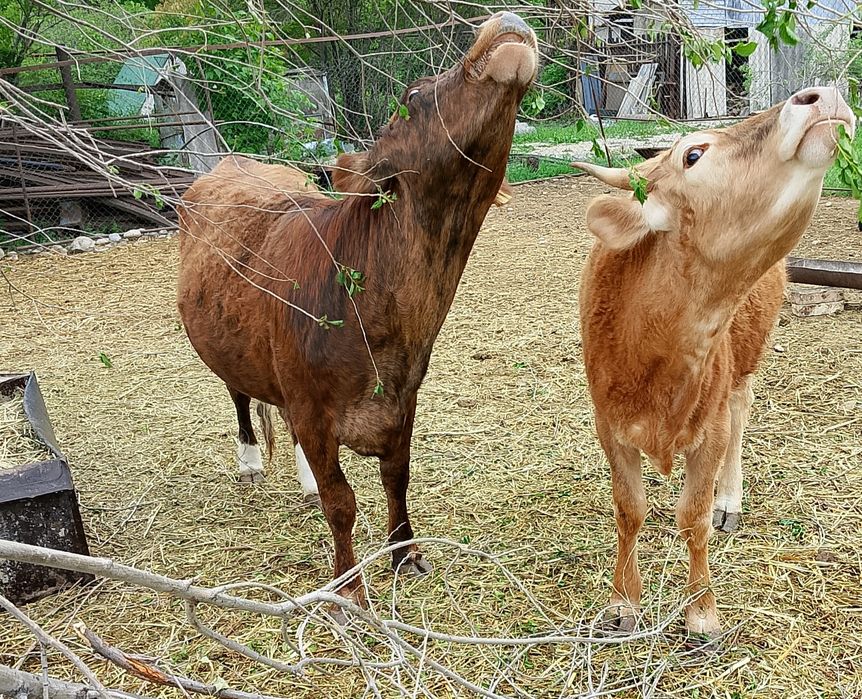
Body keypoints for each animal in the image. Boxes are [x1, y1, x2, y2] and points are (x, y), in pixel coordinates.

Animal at [177, 12, 538, 611]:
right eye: (413, 95)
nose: (506, 21)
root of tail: (228, 162)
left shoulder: (404, 398)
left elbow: (398, 475)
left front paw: (405, 552)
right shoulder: (313, 406)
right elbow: (341, 499)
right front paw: (350, 588)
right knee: (240, 395)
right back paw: (251, 461)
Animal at [572, 86, 855, 637]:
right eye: (693, 155)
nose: (820, 95)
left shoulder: (711, 425)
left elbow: (693, 515)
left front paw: (701, 611)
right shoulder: (608, 424)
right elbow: (629, 510)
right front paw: (623, 602)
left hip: (746, 361)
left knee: (743, 410)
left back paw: (731, 499)